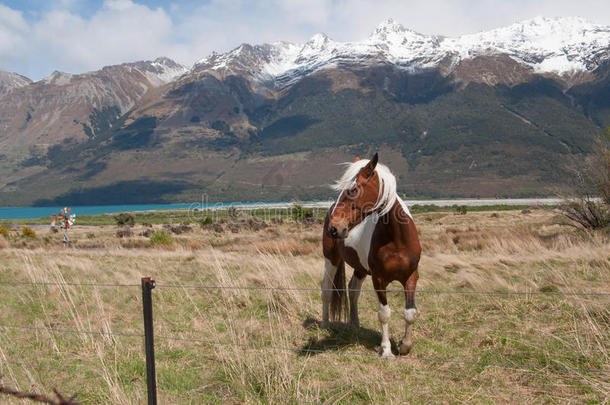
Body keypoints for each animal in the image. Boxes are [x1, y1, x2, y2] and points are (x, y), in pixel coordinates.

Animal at [320, 153, 420, 358]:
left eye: (353, 189)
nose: (334, 228)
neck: (397, 239)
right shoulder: (379, 279)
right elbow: (384, 313)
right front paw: (387, 350)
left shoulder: (411, 276)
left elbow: (410, 313)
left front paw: (404, 346)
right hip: (331, 260)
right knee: (326, 289)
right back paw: (326, 323)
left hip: (360, 268)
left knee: (353, 290)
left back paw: (355, 324)